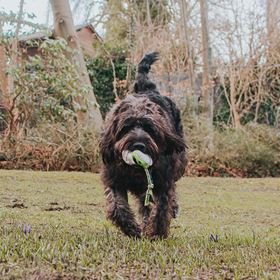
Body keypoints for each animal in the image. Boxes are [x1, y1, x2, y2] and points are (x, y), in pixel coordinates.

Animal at [99, 52, 187, 238]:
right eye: (126, 127)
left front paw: (156, 233)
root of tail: (147, 89)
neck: (135, 170)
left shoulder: (163, 181)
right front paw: (131, 228)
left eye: (150, 128)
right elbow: (117, 206)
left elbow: (162, 207)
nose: (138, 145)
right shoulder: (114, 179)